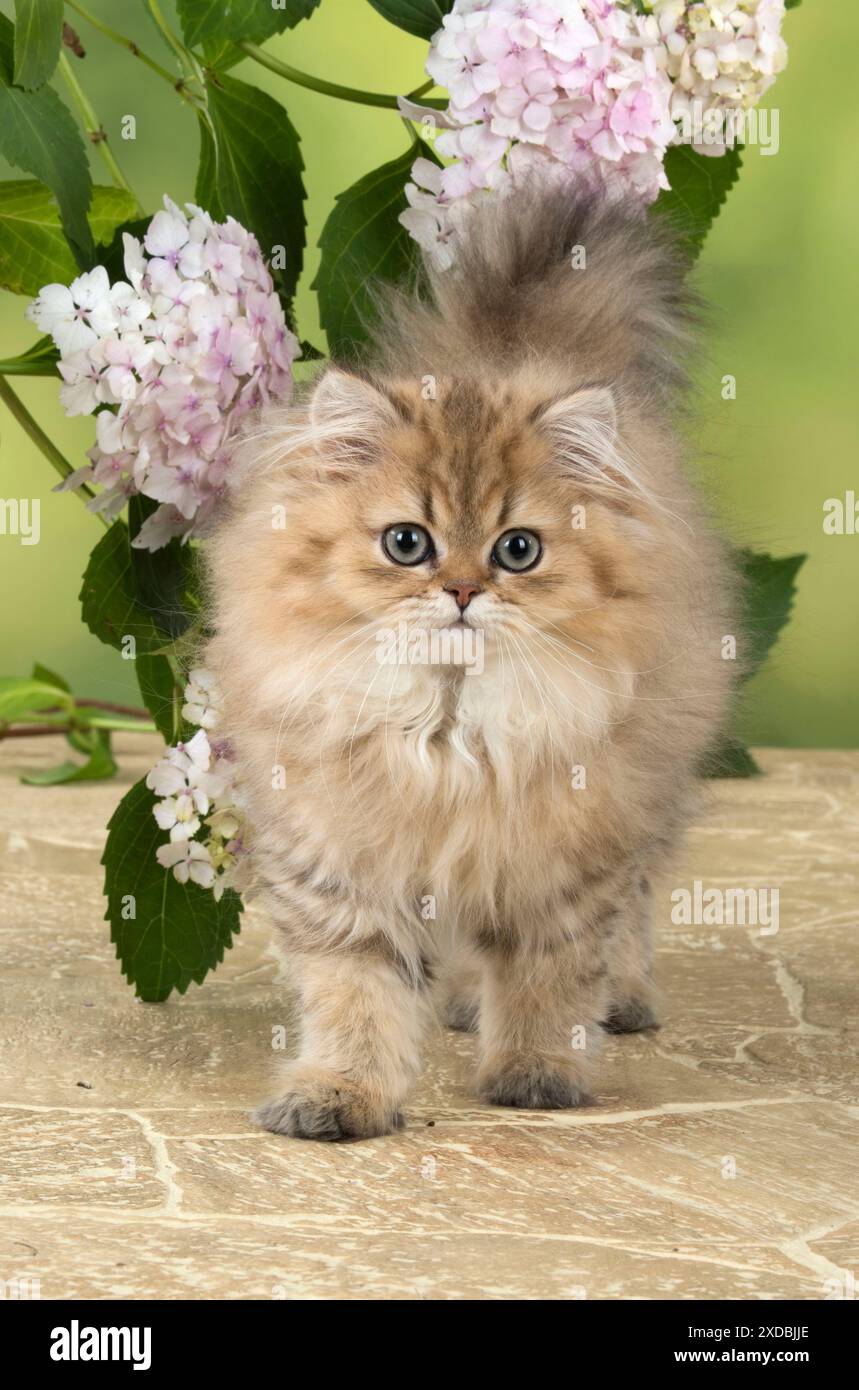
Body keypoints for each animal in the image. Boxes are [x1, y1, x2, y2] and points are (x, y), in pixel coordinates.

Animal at [204, 184, 733, 1139]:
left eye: (516, 550)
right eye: (406, 543)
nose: (459, 590)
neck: (447, 727)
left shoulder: (569, 857)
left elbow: (548, 977)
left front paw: (535, 1072)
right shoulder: (339, 855)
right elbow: (356, 993)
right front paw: (338, 1096)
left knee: (634, 908)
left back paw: (621, 999)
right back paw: (455, 1000)